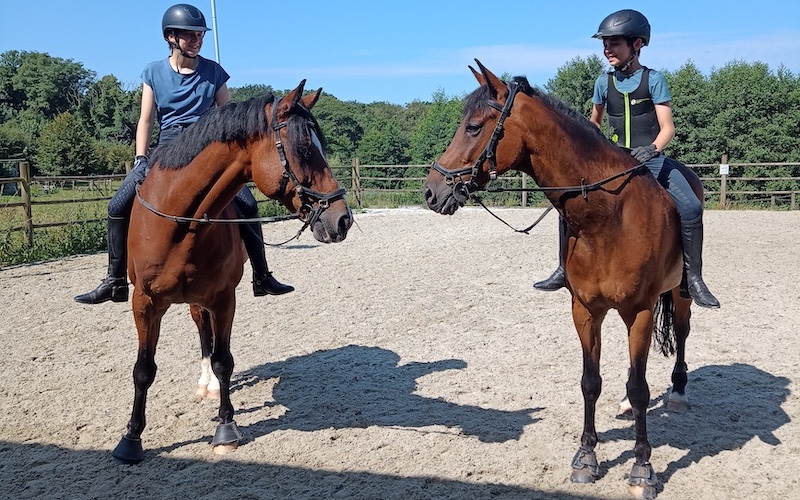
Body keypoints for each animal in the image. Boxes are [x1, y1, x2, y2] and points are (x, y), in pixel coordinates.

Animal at [110, 80, 353, 464]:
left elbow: (224, 361)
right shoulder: (145, 303)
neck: (182, 223)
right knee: (200, 331)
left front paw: (225, 429)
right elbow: (143, 369)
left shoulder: (223, 300)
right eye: (304, 148)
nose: (342, 219)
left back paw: (209, 383)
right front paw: (131, 439)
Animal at [423, 61, 699, 499]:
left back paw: (678, 392)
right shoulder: (585, 310)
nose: (432, 191)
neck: (608, 215)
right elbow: (591, 382)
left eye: (473, 127)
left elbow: (641, 387)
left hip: (681, 293)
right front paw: (586, 458)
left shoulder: (639, 311)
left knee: (684, 332)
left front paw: (642, 467)